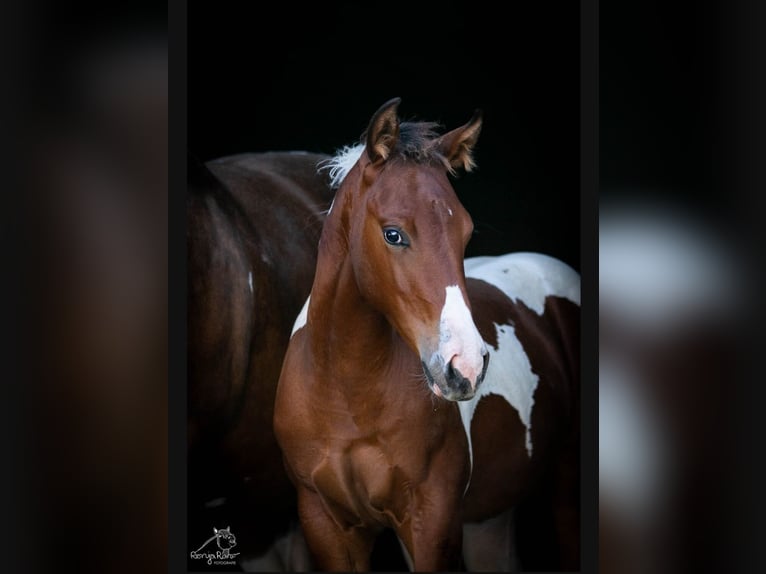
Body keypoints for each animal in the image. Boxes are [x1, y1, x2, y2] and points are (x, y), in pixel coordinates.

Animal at [272, 98, 580, 572]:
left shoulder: (432, 521)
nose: (465, 366)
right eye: (393, 233)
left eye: (465, 232)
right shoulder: (325, 522)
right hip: (490, 520)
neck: (347, 396)